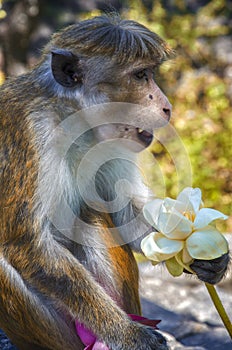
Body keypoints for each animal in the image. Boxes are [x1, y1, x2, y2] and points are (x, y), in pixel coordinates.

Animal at [0, 14, 228, 350]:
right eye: (141, 75)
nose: (167, 106)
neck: (72, 120)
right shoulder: (29, 133)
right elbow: (26, 244)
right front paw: (127, 333)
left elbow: (125, 212)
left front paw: (210, 260)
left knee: (89, 214)